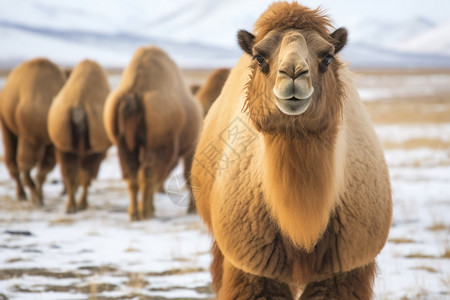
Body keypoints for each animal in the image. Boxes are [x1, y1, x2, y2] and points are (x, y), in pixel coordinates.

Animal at [0, 57, 66, 205]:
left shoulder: (50, 145)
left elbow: (42, 171)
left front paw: (38, 196)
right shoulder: (27, 139)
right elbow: (25, 166)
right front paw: (35, 196)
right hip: (7, 129)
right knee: (12, 163)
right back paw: (21, 194)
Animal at [47, 59, 111, 213]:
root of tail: (79, 105)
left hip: (64, 146)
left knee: (71, 173)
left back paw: (71, 206)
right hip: (91, 151)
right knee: (84, 174)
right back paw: (82, 203)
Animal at [103, 46, 202, 220]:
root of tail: (134, 94)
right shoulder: (189, 147)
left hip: (124, 146)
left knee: (133, 176)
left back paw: (134, 213)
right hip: (158, 146)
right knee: (148, 175)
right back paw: (146, 212)